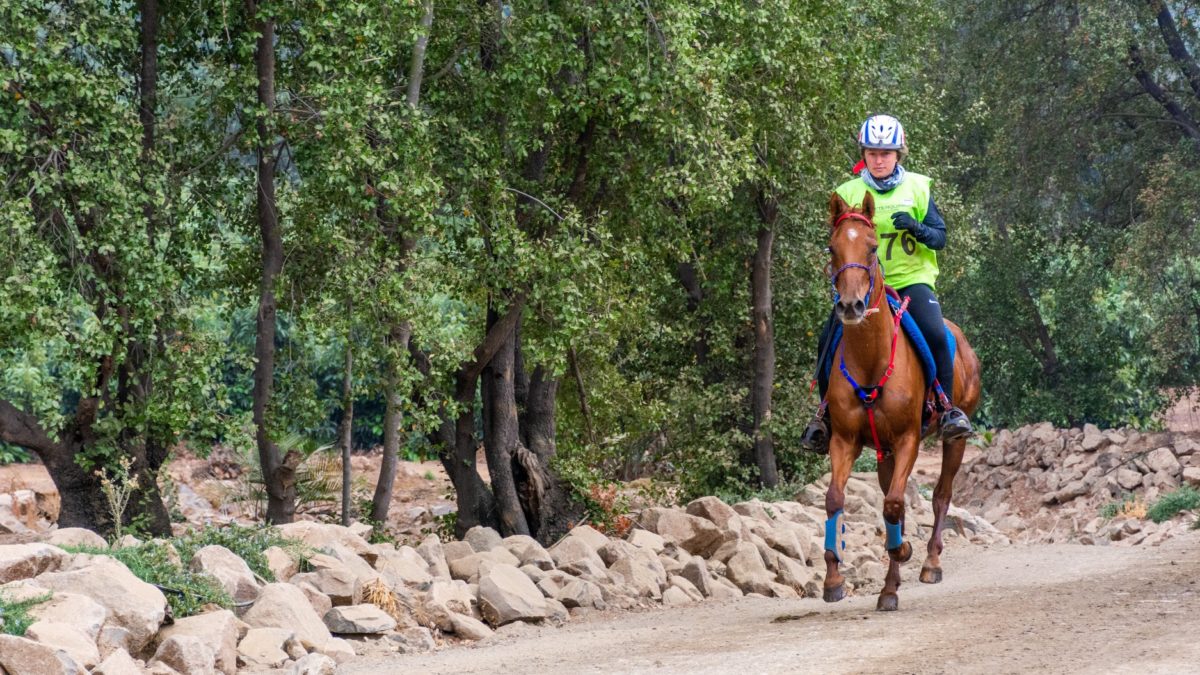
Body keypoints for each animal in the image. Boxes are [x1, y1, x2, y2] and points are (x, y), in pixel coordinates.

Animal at [825, 190, 984, 610]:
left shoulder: (908, 438)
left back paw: (929, 563)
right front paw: (833, 579)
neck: (870, 359)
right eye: (832, 248)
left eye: (871, 246)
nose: (851, 306)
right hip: (884, 452)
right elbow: (835, 499)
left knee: (941, 495)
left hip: (953, 441)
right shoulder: (844, 440)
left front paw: (904, 552)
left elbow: (896, 504)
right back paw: (890, 586)